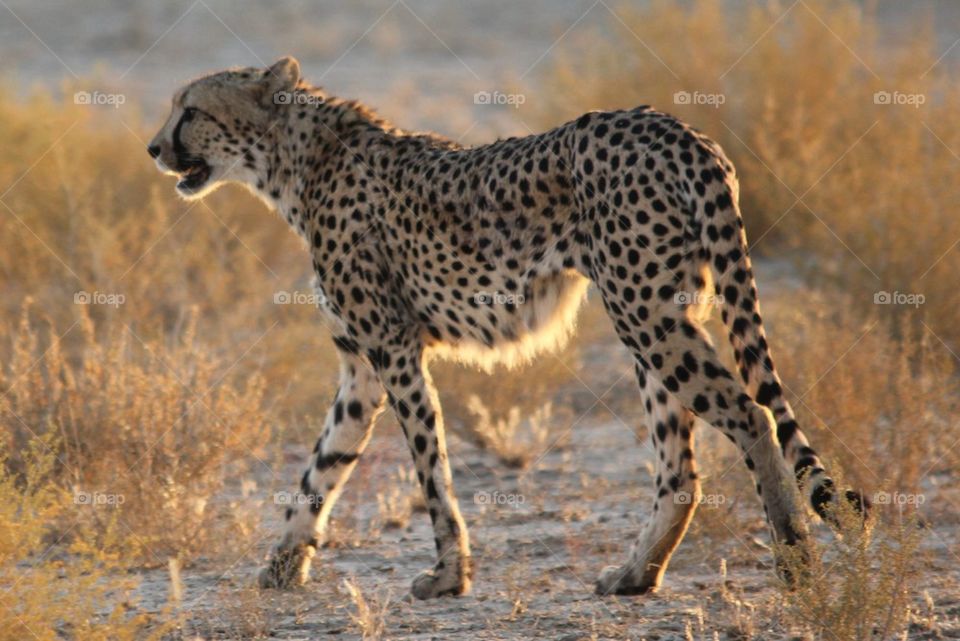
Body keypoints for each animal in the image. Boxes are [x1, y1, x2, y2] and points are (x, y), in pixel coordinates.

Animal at [148, 57, 866, 600]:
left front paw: (447, 575)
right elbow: (321, 469)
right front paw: (281, 565)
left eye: (192, 111)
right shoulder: (360, 365)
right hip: (659, 312)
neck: (298, 162)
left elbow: (430, 467)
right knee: (681, 467)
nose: (154, 148)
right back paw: (636, 573)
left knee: (751, 414)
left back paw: (795, 557)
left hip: (644, 313)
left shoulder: (394, 349)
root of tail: (676, 127)